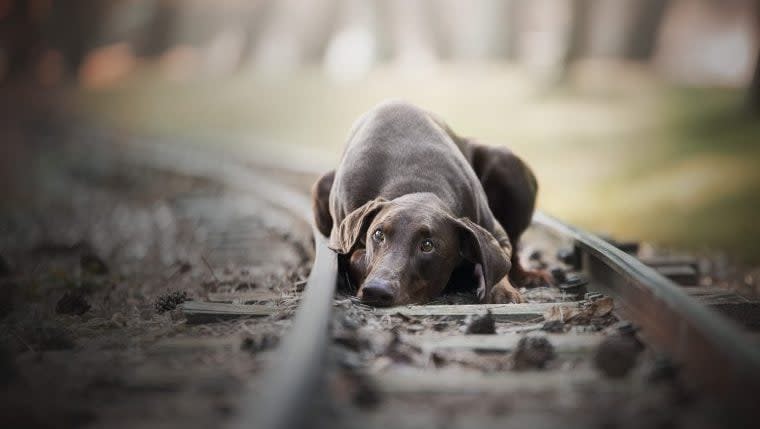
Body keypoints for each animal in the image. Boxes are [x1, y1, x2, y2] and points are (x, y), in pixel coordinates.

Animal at [312, 100, 548, 304]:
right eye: (378, 234)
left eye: (427, 245)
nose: (377, 290)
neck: (417, 186)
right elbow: (355, 256)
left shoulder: (495, 234)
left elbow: (499, 263)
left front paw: (502, 291)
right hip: (321, 185)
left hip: (504, 161)